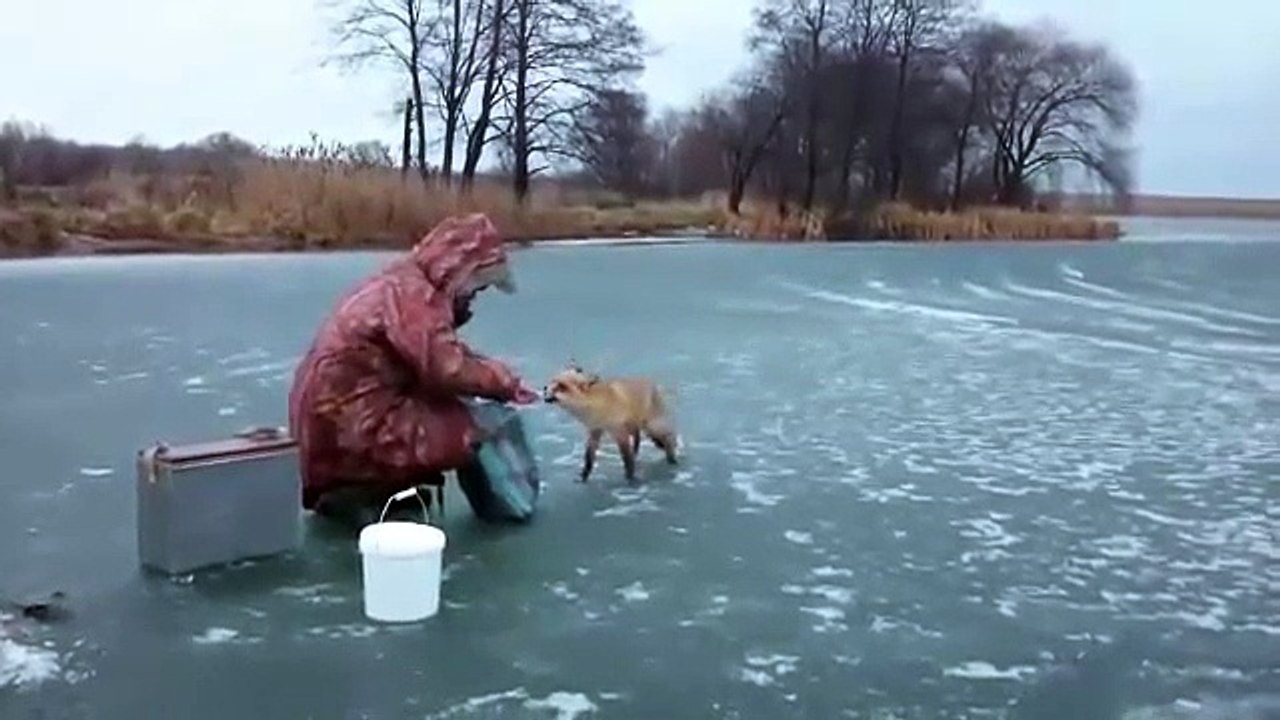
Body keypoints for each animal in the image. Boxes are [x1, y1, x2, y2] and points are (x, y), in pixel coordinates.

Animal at [542, 362, 678, 483]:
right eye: (552, 381)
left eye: (561, 386)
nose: (544, 388)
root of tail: (652, 383)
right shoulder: (595, 430)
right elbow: (589, 458)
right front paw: (584, 477)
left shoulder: (619, 432)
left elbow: (627, 459)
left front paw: (630, 479)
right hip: (635, 427)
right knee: (638, 438)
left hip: (651, 426)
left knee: (668, 437)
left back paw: (672, 458)